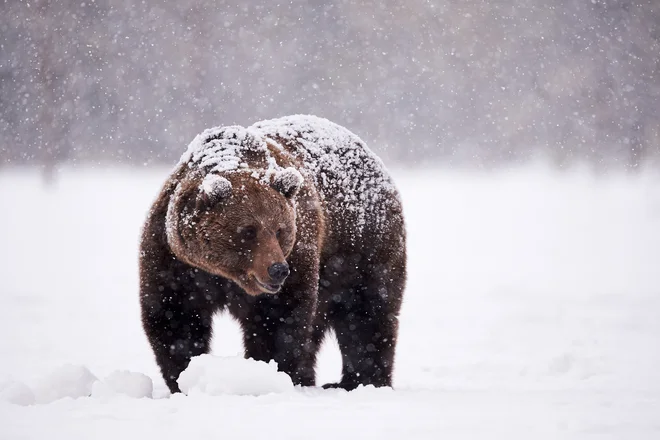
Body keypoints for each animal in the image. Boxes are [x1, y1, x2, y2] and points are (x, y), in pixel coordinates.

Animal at [140, 115, 408, 394]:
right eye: (248, 231)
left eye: (280, 230)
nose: (278, 269)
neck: (226, 275)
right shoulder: (176, 262)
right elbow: (175, 317)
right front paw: (184, 378)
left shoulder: (299, 251)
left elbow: (278, 321)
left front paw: (266, 373)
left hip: (361, 248)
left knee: (367, 313)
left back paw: (361, 381)